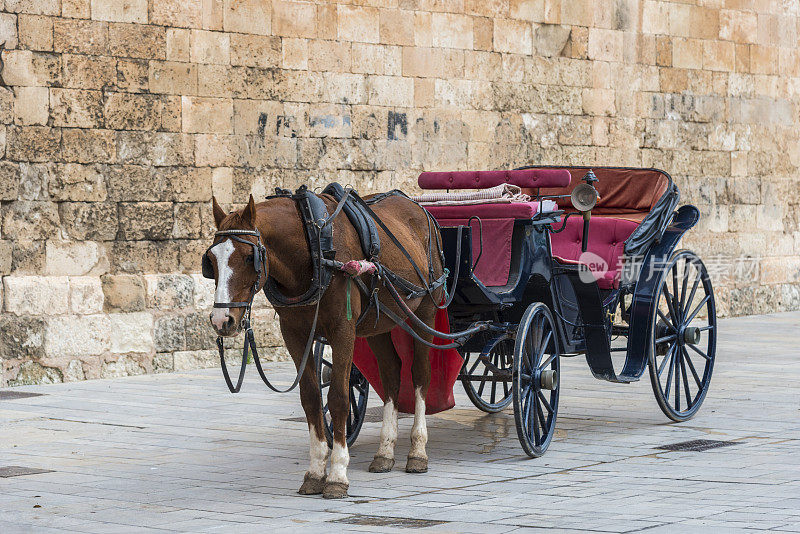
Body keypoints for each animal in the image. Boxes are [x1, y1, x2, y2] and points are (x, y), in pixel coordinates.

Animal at [205, 194, 444, 502]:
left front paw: (337, 475)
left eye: (249, 257)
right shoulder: (294, 334)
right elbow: (310, 398)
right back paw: (385, 452)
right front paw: (316, 471)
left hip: (424, 312)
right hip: (379, 320)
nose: (222, 319)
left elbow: (339, 398)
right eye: (211, 260)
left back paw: (417, 451)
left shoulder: (343, 329)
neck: (315, 248)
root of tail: (417, 207)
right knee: (392, 373)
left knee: (420, 375)